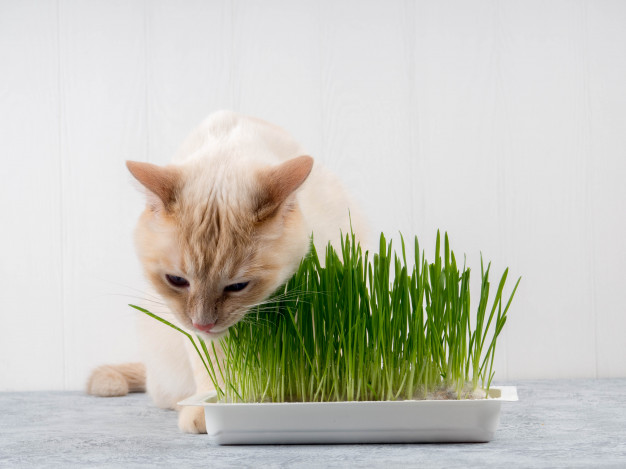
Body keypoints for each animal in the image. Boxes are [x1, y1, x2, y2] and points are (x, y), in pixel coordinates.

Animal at [85, 109, 364, 432]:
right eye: (177, 280)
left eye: (238, 286)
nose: (203, 323)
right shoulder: (194, 333)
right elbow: (214, 373)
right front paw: (211, 410)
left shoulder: (320, 301)